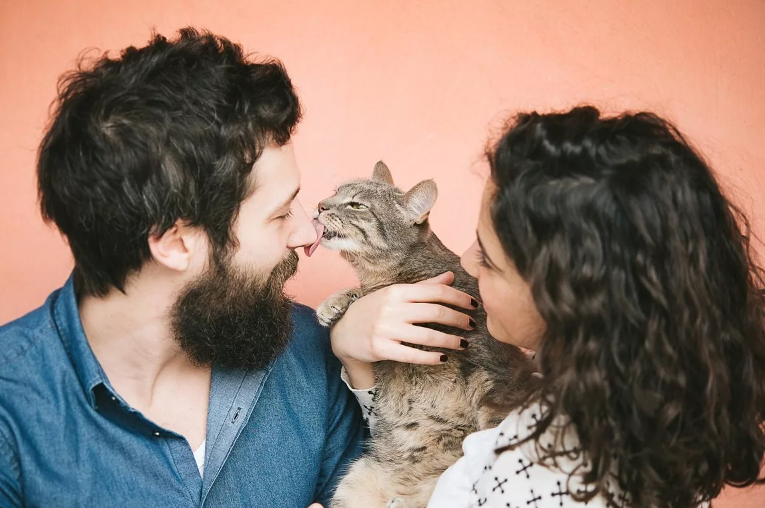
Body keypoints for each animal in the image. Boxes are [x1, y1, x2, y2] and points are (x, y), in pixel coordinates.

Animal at [311, 161, 538, 508]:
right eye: (335, 193)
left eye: (357, 205)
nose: (320, 205)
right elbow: (370, 294)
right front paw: (336, 302)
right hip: (355, 481)